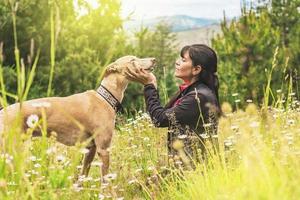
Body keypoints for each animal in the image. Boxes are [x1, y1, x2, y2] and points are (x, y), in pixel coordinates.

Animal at [0, 55, 155, 180]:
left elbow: (83, 175)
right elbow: (105, 180)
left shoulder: (90, 149)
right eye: (133, 60)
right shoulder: (103, 149)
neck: (105, 98)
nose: (154, 59)